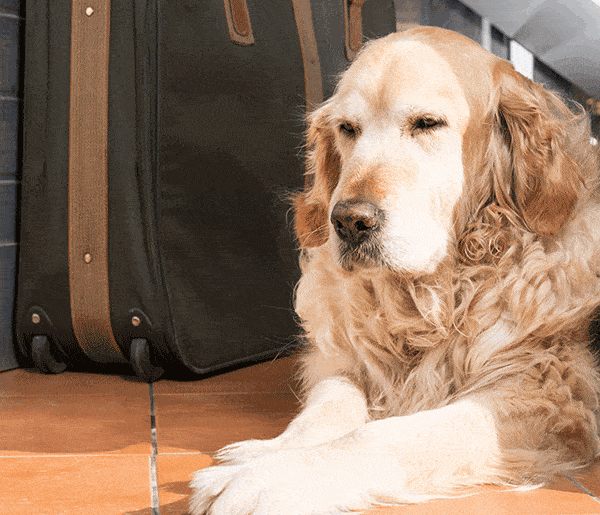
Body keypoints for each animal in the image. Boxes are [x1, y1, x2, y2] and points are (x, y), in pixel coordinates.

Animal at [190, 26, 600, 512]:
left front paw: (263, 479)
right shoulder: (339, 357)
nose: (349, 221)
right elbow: (328, 409)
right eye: (347, 129)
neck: (435, 295)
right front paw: (264, 453)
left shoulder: (547, 393)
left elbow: (379, 437)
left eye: (427, 123)